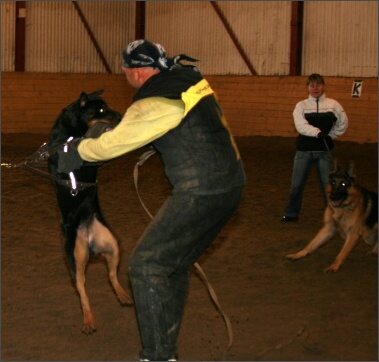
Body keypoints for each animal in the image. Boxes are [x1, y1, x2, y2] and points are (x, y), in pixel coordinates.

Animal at [48, 90, 133, 334]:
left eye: (108, 106)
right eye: (101, 110)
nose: (120, 115)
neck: (73, 131)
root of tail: (89, 240)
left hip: (113, 244)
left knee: (112, 276)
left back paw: (123, 295)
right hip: (75, 258)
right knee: (82, 291)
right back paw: (88, 320)